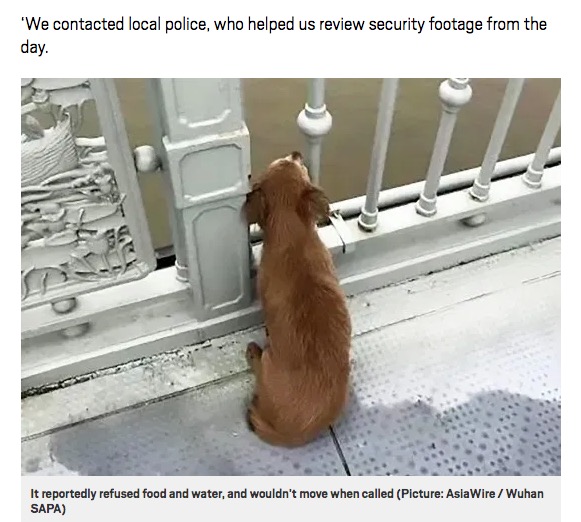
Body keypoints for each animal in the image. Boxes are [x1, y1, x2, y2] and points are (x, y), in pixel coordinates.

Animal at [244, 151, 352, 446]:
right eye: (299, 165)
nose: (296, 152)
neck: (291, 233)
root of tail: (291, 434)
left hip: (268, 365)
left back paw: (253, 352)